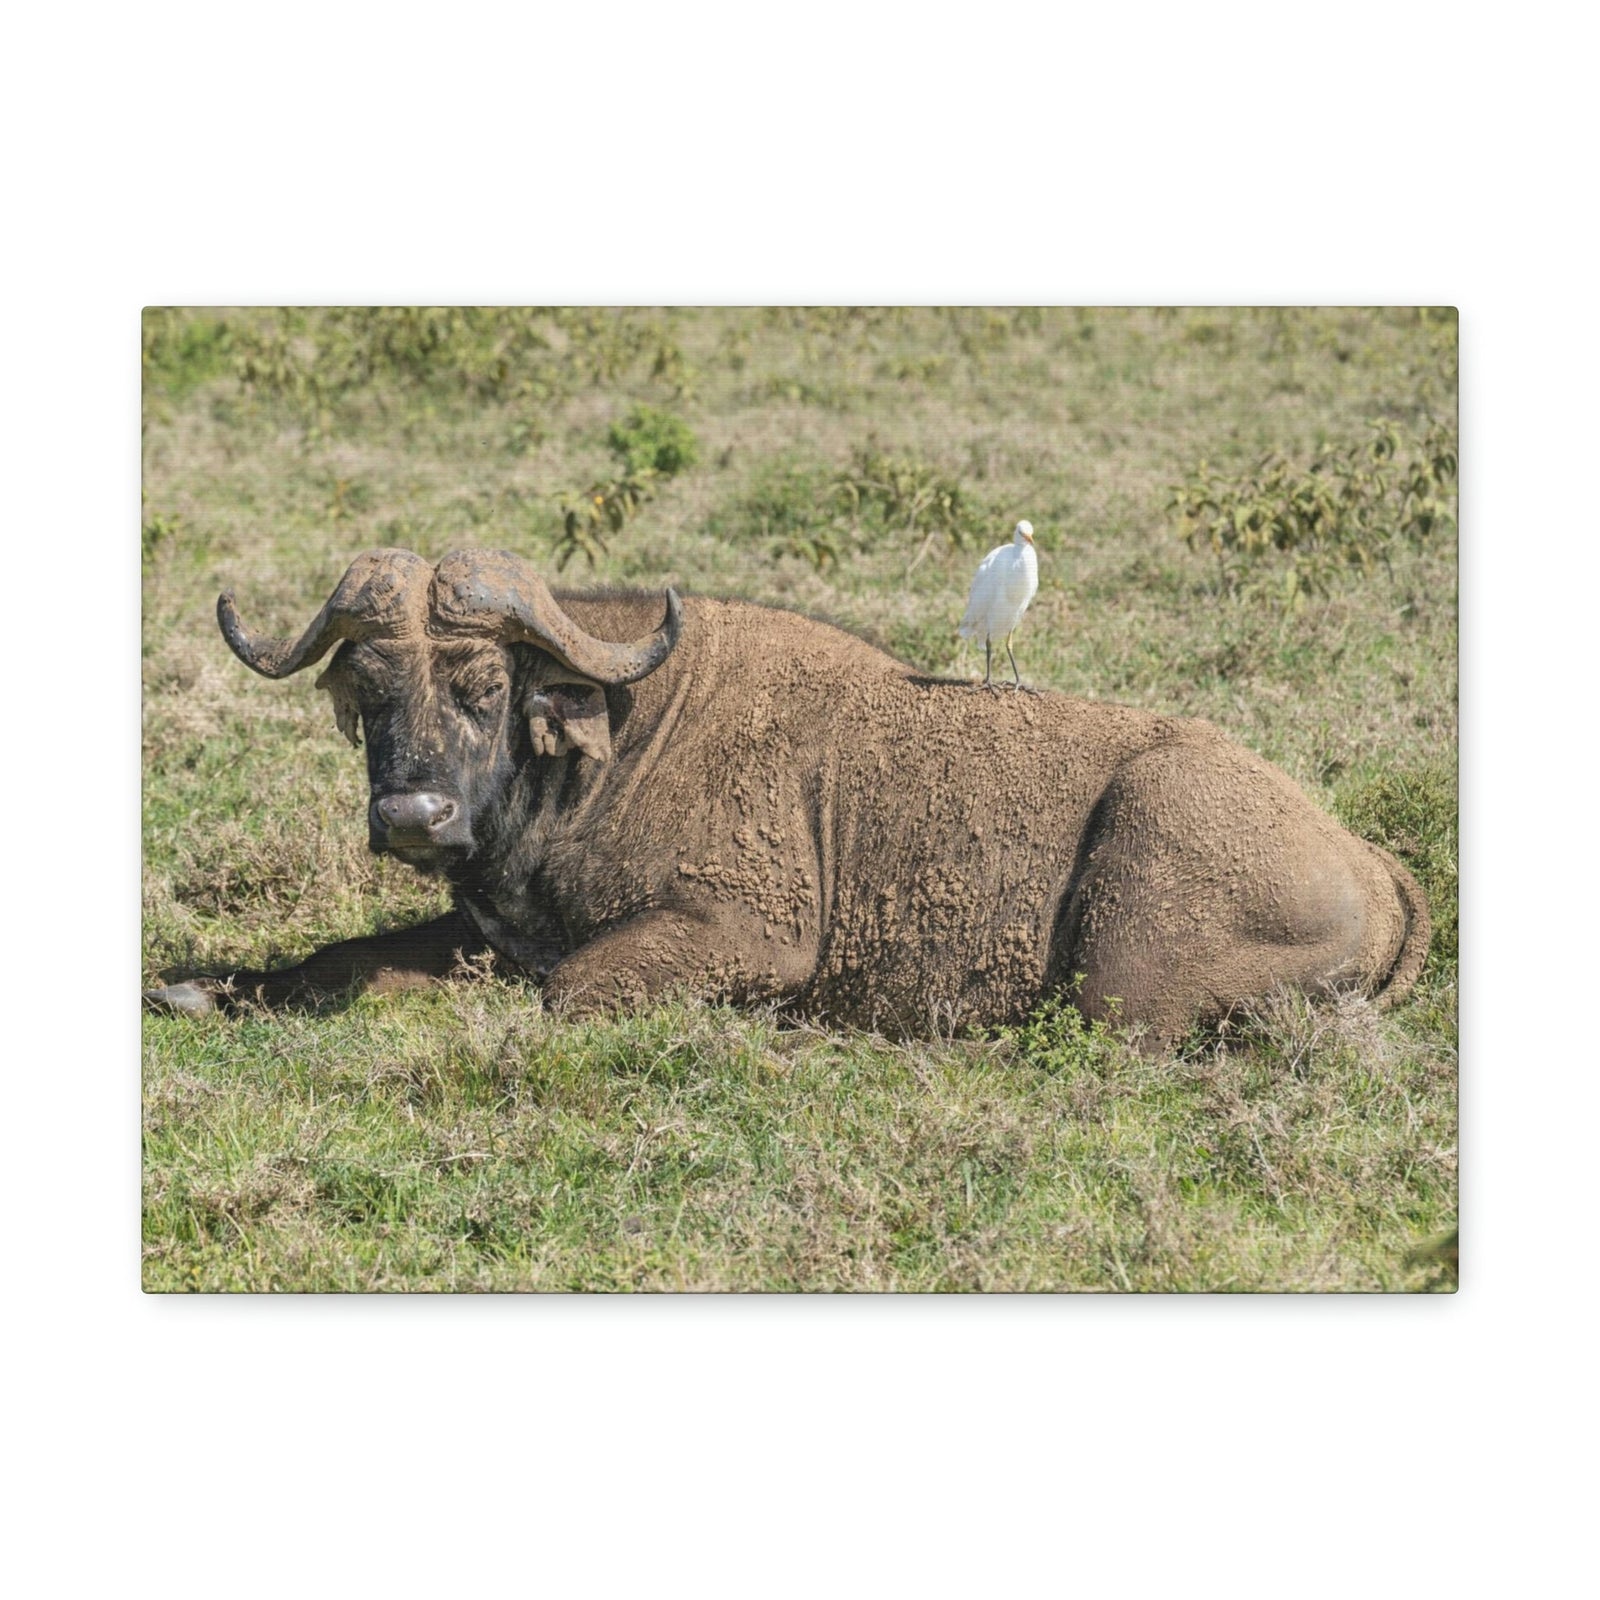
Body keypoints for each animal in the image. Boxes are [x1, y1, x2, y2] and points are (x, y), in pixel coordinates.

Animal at [145, 547, 1430, 1049]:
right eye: (367, 688)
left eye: (481, 684)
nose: (413, 819)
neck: (615, 744)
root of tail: (1370, 862)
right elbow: (335, 959)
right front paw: (202, 987)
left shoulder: (742, 935)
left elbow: (564, 991)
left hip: (1128, 945)